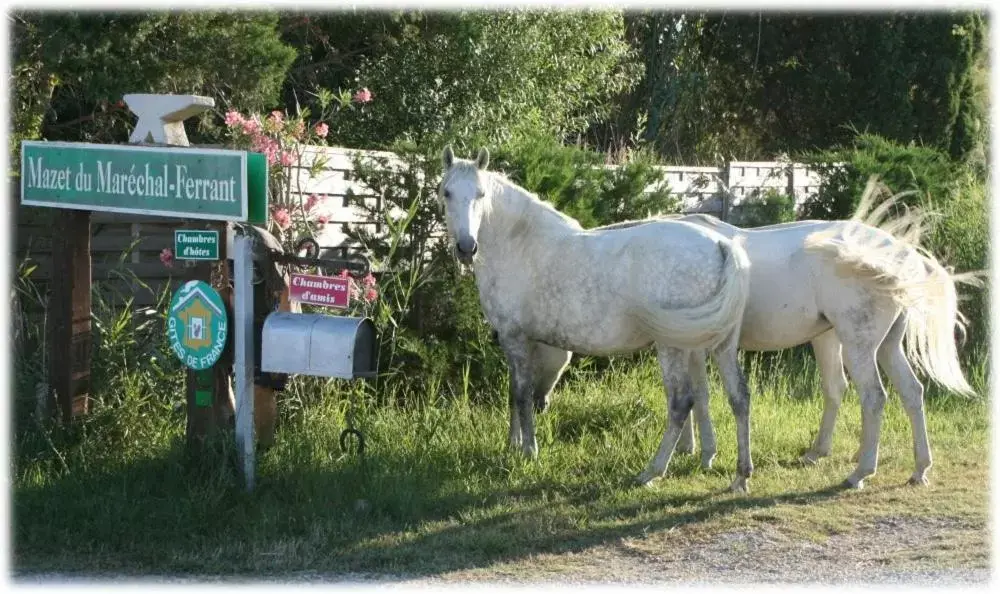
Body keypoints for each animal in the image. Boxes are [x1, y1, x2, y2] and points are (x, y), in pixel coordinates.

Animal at [434, 147, 752, 490]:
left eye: (480, 194)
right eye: (447, 192)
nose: (466, 247)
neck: (520, 244)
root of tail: (720, 244)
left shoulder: (514, 338)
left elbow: (521, 395)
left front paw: (528, 452)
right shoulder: (522, 342)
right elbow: (515, 395)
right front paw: (513, 445)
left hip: (672, 346)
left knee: (681, 403)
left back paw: (651, 472)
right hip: (720, 345)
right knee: (739, 397)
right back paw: (741, 476)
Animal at [544, 183, 980, 488]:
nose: (541, 401)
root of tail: (901, 255)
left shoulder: (695, 345)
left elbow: (697, 396)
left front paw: (699, 455)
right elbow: (697, 395)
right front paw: (693, 451)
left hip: (859, 343)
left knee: (874, 397)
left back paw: (860, 473)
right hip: (883, 344)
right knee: (908, 392)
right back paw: (914, 468)